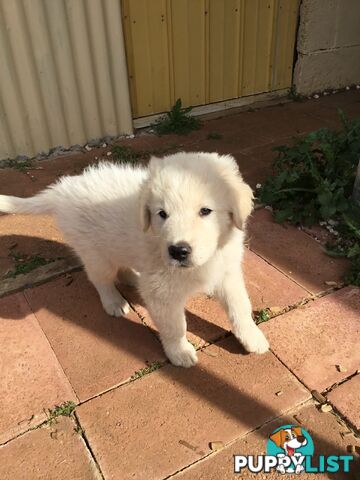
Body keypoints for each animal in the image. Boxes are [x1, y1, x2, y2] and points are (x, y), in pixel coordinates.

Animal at [0, 154, 268, 368]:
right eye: (162, 214)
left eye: (205, 211)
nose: (178, 251)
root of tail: (63, 189)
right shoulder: (162, 293)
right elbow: (175, 326)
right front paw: (179, 353)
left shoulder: (227, 273)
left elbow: (240, 308)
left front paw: (252, 338)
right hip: (95, 253)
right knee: (101, 279)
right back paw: (114, 302)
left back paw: (133, 278)